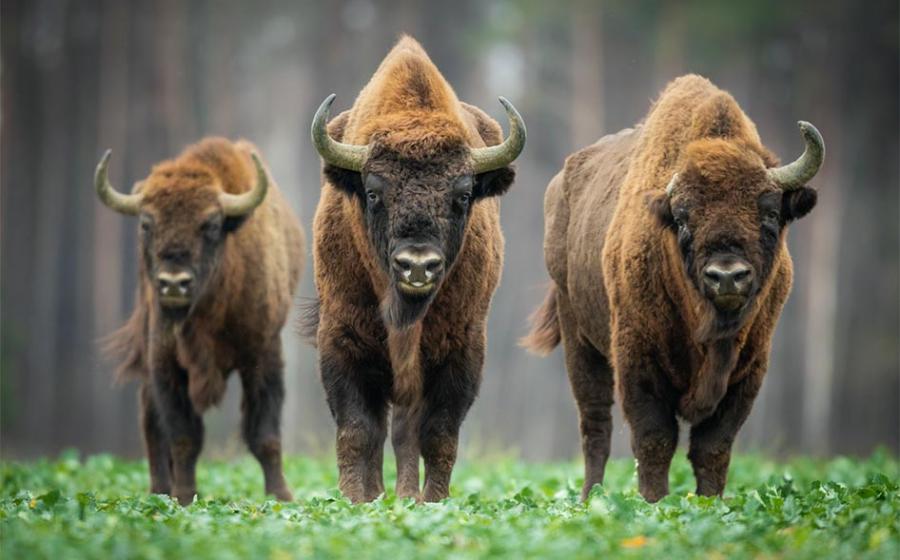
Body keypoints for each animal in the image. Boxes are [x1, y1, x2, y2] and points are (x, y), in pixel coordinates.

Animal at [97, 138, 304, 505]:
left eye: (210, 225)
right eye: (146, 224)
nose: (173, 283)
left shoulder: (263, 354)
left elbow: (264, 434)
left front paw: (280, 496)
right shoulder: (165, 362)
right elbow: (184, 436)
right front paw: (183, 496)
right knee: (151, 422)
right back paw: (159, 491)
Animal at [306, 36, 525, 502]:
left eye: (463, 195)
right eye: (373, 193)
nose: (417, 266)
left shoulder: (461, 350)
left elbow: (437, 434)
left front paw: (431, 502)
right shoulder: (342, 340)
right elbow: (357, 431)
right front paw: (354, 500)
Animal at [524, 75, 823, 501]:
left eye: (769, 212)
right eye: (683, 219)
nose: (727, 275)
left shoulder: (749, 370)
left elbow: (713, 447)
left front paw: (710, 504)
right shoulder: (638, 361)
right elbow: (655, 440)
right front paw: (655, 503)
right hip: (579, 339)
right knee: (595, 426)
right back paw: (589, 499)